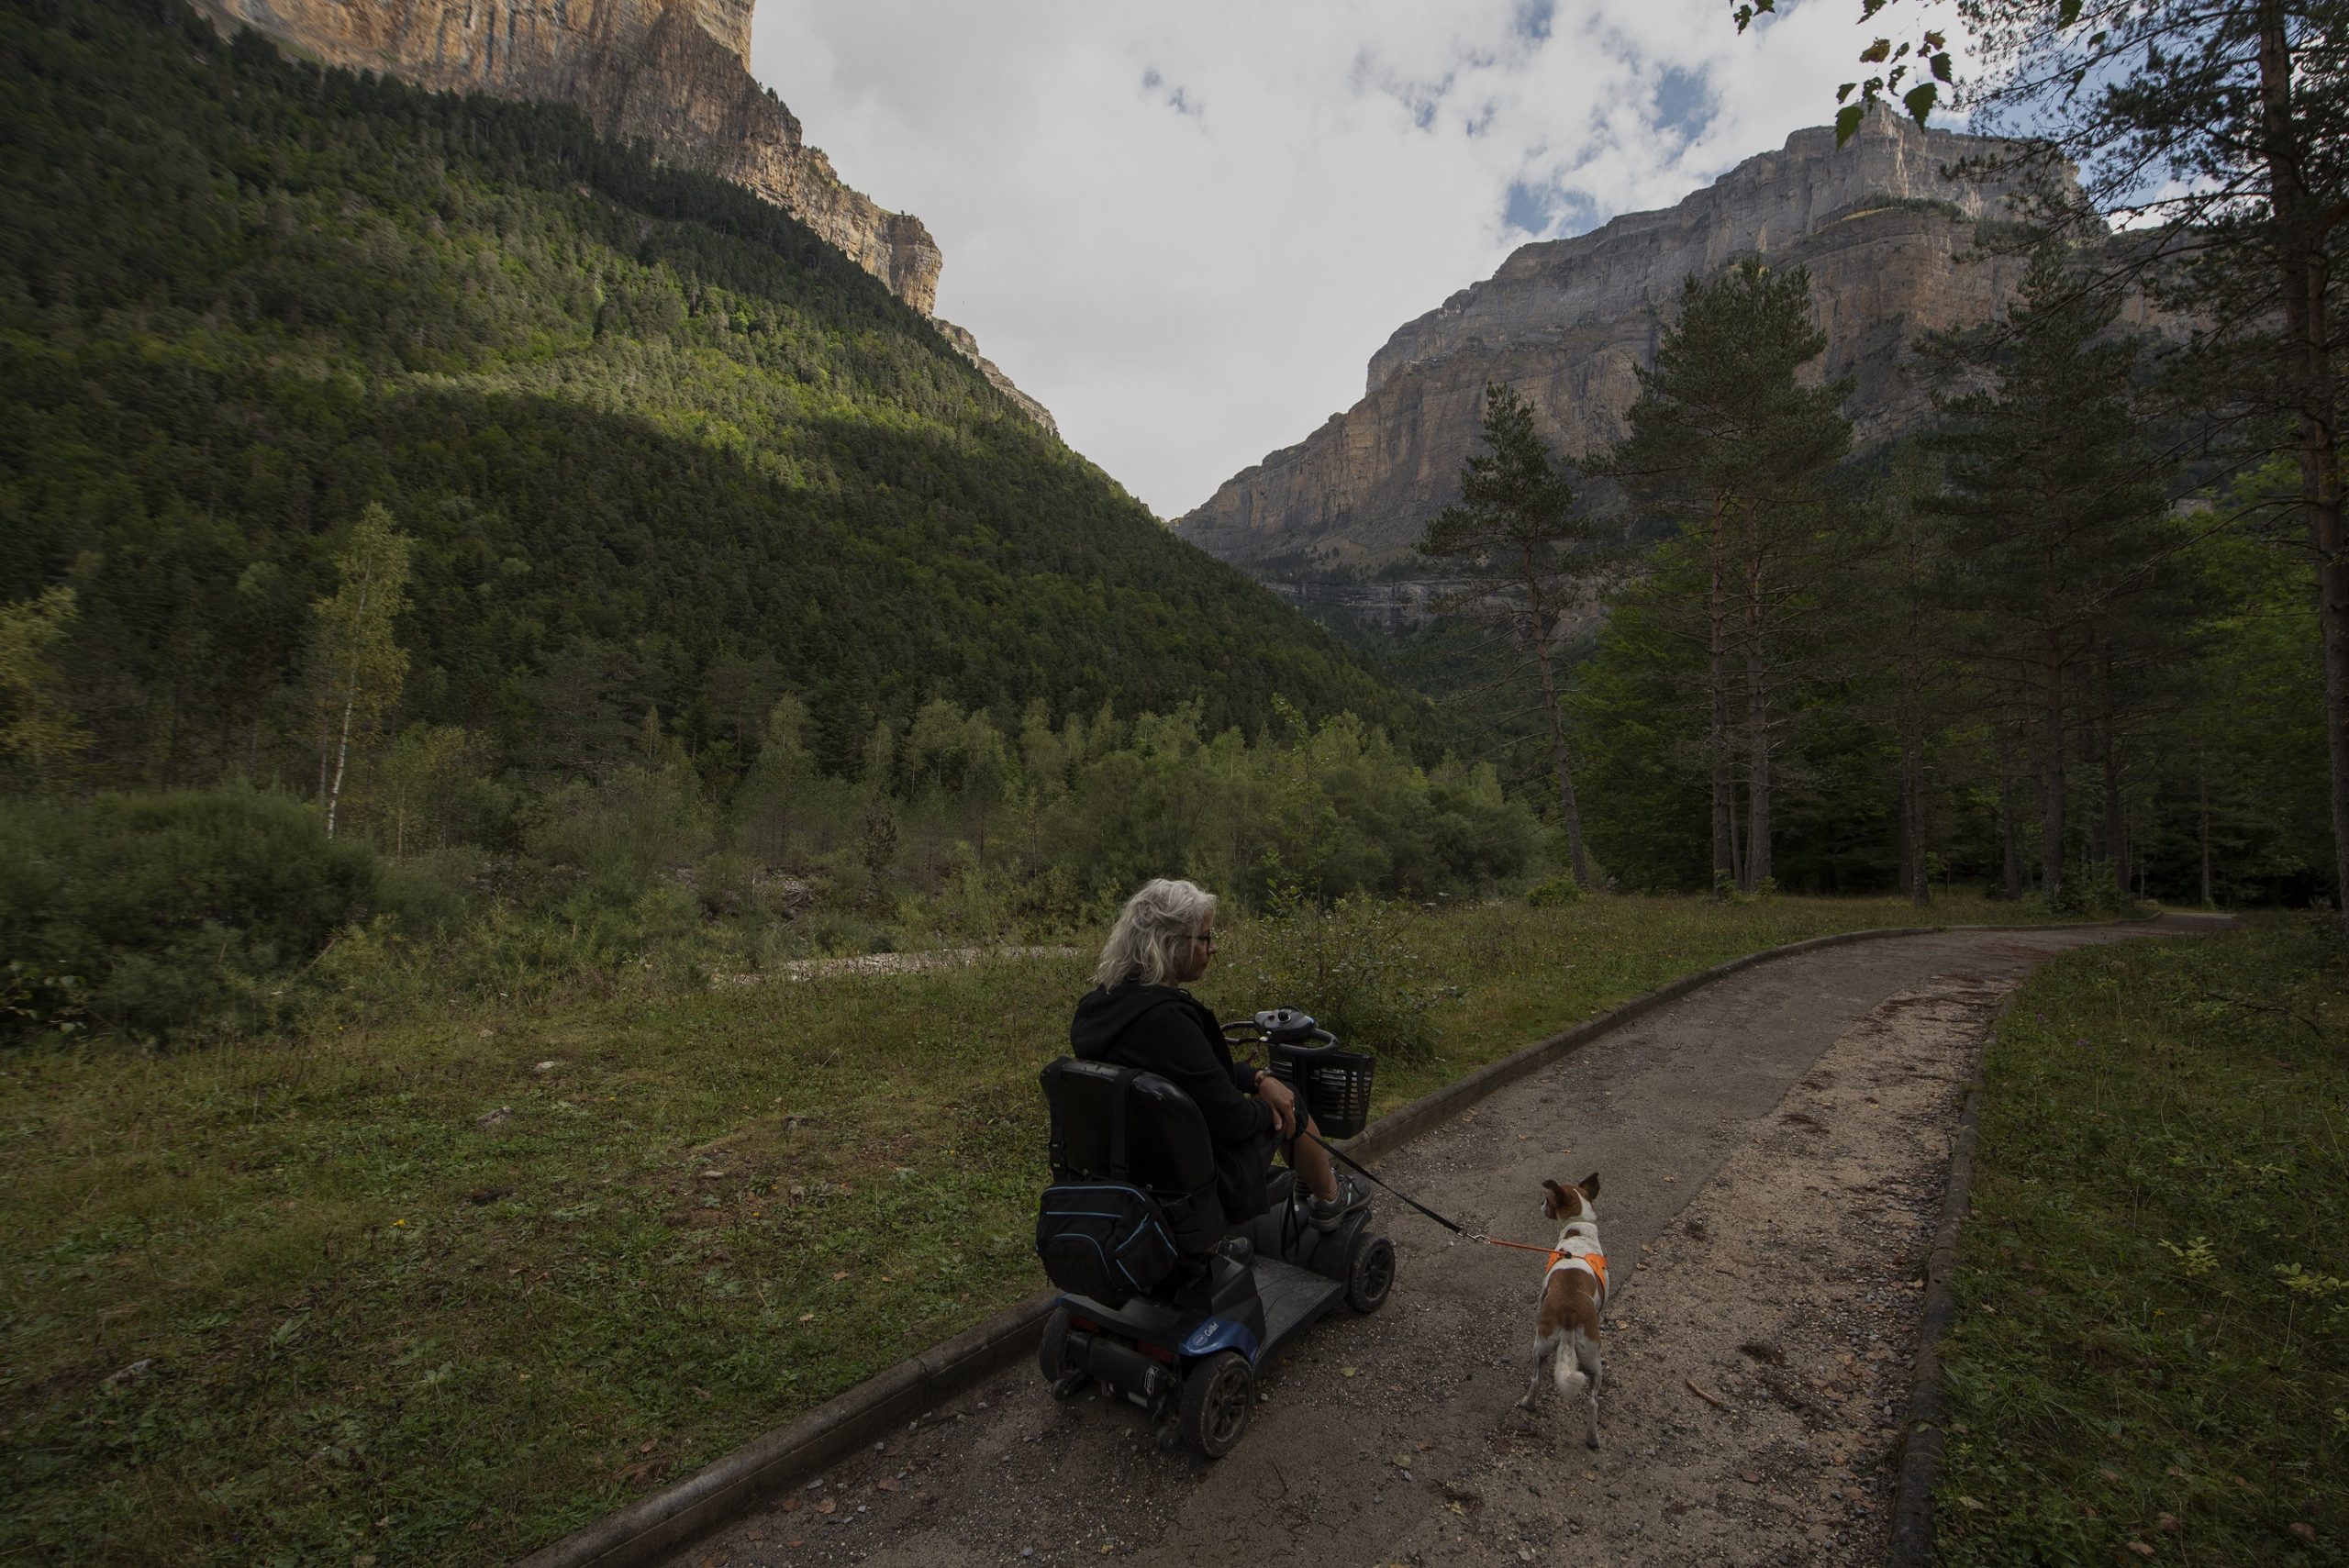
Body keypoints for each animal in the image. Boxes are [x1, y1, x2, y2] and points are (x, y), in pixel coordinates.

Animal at [1512, 1173, 1607, 1445]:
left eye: (1548, 1198)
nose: (1541, 1203)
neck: (1578, 1230)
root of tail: (1569, 1313)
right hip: (1591, 1358)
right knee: (1592, 1401)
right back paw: (1592, 1438)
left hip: (1545, 1347)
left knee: (1537, 1380)